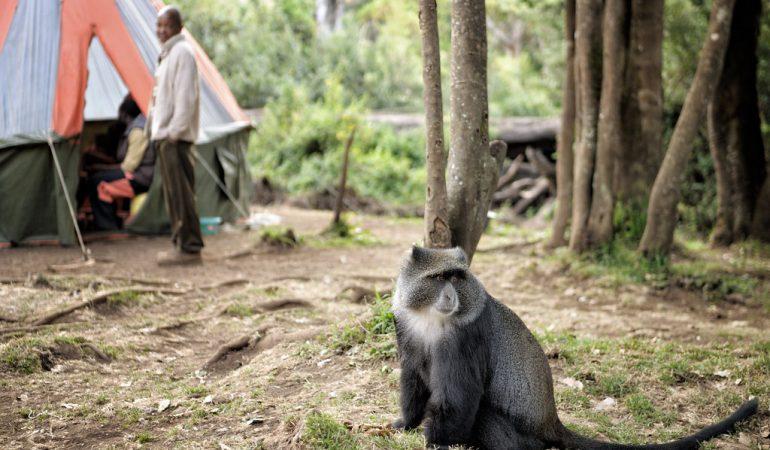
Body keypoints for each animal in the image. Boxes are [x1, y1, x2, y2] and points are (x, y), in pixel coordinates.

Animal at [391, 246, 759, 450]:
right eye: (439, 278)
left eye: (458, 277)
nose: (451, 295)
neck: (432, 318)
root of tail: (551, 422)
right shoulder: (405, 325)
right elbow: (413, 375)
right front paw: (406, 424)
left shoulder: (468, 336)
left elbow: (459, 397)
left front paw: (435, 441)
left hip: (522, 437)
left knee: (485, 414)